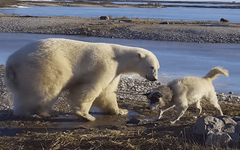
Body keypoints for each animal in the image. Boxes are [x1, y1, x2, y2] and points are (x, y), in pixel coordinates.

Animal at [4, 38, 159, 121]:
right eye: (152, 67)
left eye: (157, 67)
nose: (155, 78)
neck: (118, 56)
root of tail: (11, 62)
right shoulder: (105, 65)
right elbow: (92, 88)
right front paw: (86, 115)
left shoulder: (115, 72)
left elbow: (107, 92)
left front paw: (121, 111)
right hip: (46, 66)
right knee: (48, 90)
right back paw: (47, 112)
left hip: (21, 75)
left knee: (23, 95)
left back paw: (22, 112)